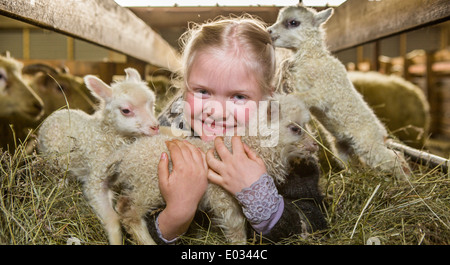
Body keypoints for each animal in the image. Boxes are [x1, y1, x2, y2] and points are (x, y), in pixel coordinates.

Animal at [37, 67, 159, 243]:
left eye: (152, 104)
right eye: (126, 110)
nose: (155, 127)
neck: (107, 137)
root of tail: (55, 114)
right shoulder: (95, 181)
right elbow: (113, 219)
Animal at [268, 4, 414, 177]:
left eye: (293, 22)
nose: (269, 31)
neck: (312, 58)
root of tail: (382, 134)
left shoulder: (322, 91)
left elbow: (301, 95)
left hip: (369, 144)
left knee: (394, 159)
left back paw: (406, 179)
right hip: (343, 147)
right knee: (356, 163)